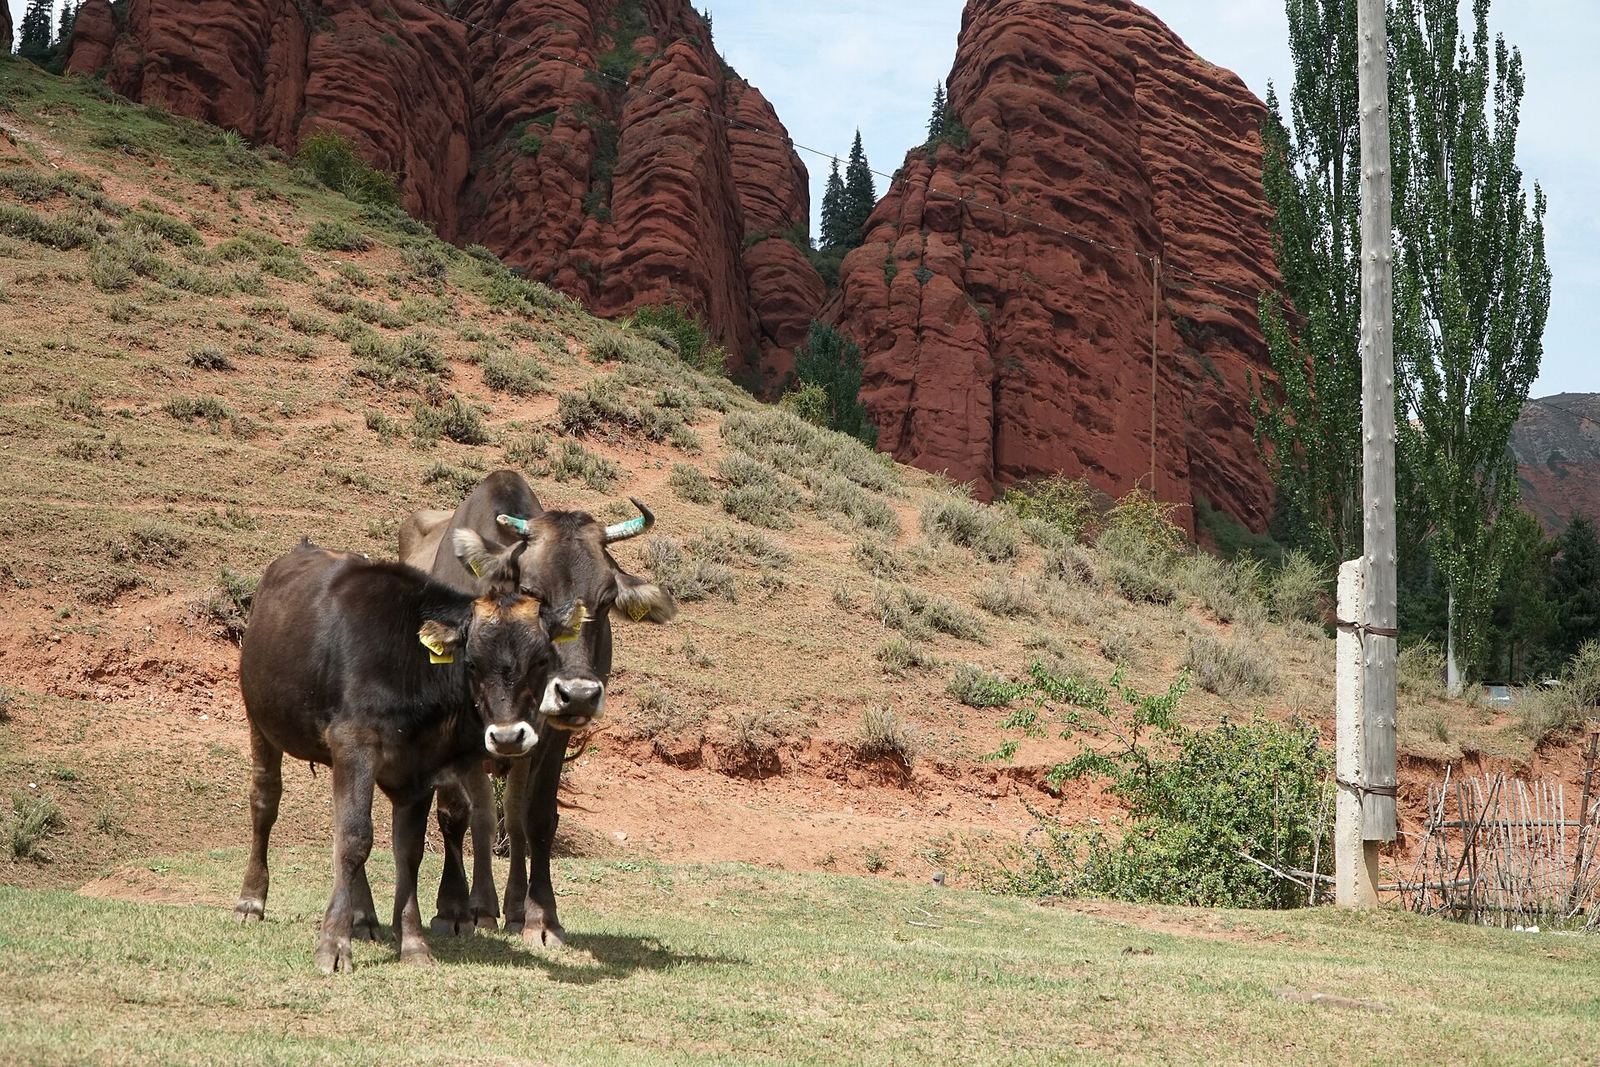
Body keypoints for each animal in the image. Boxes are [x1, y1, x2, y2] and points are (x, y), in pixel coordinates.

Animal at [234, 540, 579, 974]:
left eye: (542, 660)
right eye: (471, 663)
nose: (507, 736)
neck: (409, 669)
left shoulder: (419, 770)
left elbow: (407, 851)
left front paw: (412, 941)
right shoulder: (355, 744)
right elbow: (354, 839)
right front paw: (334, 944)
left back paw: (363, 917)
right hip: (260, 722)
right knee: (265, 802)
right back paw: (251, 900)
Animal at [400, 469, 677, 947]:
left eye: (606, 599)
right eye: (533, 593)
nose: (579, 694)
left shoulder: (550, 734)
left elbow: (536, 818)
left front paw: (541, 917)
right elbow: (455, 814)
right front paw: (452, 909)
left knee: (506, 815)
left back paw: (506, 908)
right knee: (481, 815)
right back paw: (479, 908)